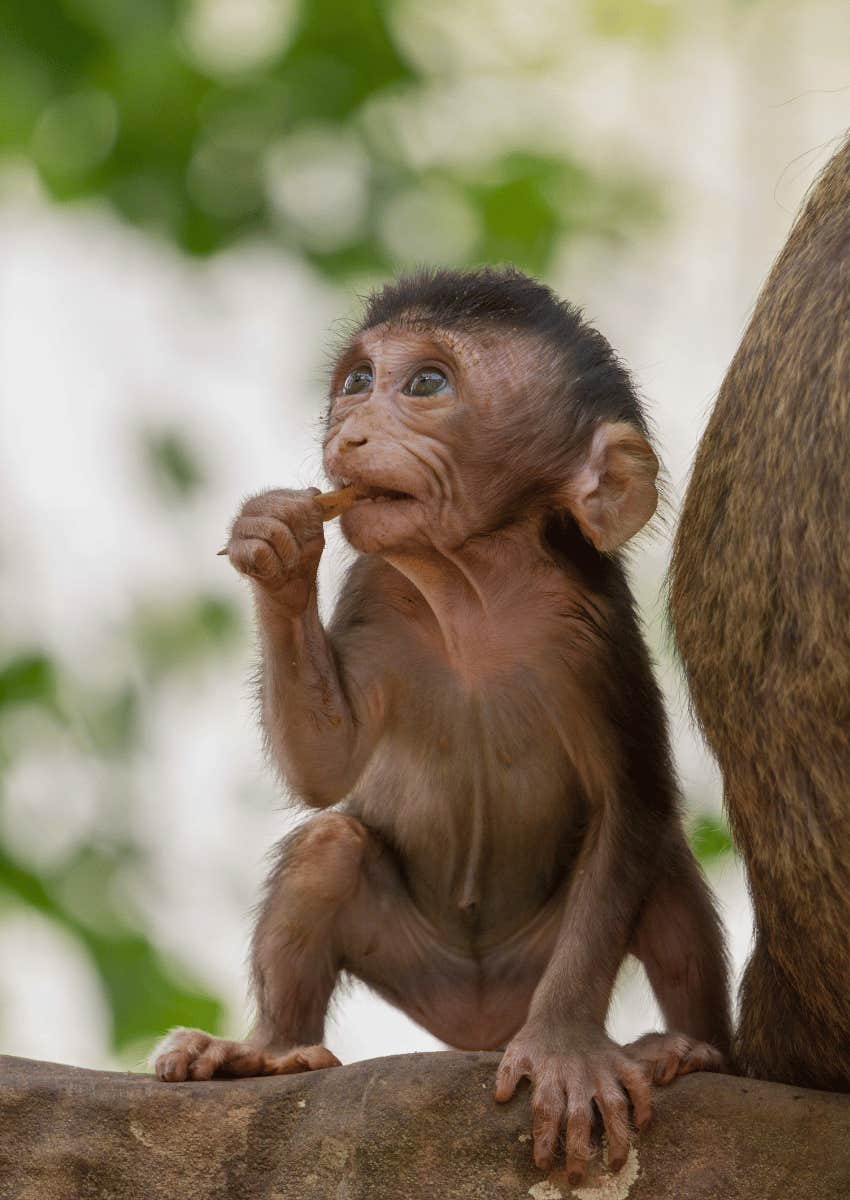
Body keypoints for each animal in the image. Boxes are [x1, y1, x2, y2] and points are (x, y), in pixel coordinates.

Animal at [154, 268, 731, 1182]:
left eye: (427, 384)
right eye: (358, 380)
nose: (348, 430)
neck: (470, 591)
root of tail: (478, 1023)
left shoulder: (594, 631)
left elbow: (635, 805)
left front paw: (566, 1049)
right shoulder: (379, 589)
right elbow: (326, 766)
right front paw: (278, 544)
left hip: (536, 961)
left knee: (663, 865)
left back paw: (694, 1047)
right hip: (420, 964)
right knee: (330, 844)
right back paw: (268, 1051)